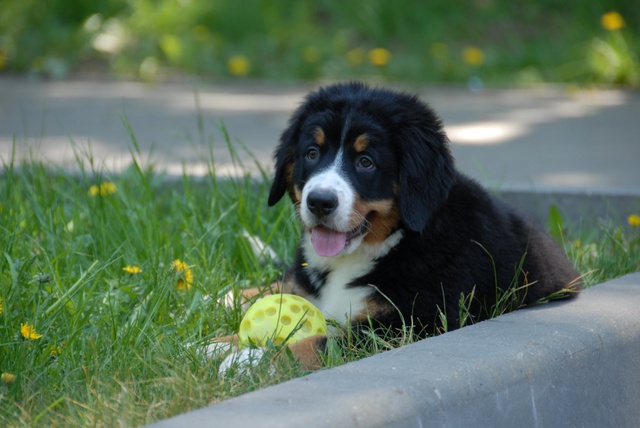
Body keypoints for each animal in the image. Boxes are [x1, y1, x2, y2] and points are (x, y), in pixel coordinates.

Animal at [227, 82, 581, 370]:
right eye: (311, 153)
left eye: (366, 162)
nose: (319, 202)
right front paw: (218, 342)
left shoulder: (408, 325)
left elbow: (315, 343)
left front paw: (249, 358)